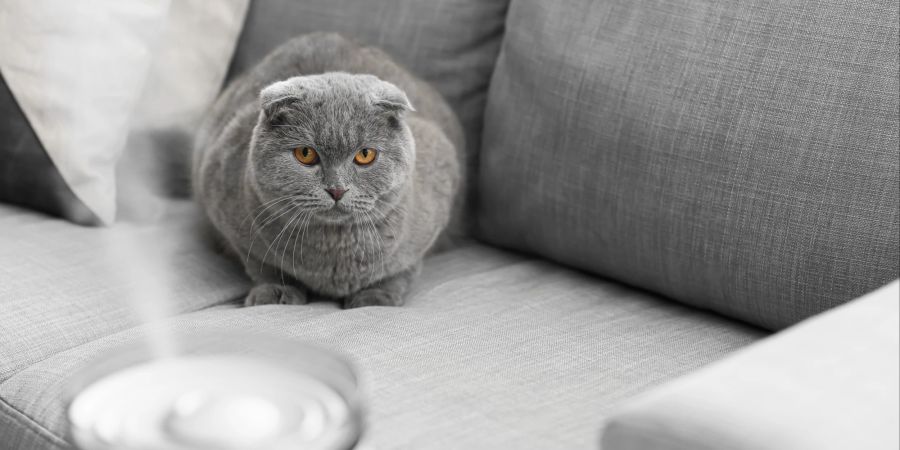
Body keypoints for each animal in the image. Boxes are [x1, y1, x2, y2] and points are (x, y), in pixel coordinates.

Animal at [196, 32, 464, 310]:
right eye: (306, 154)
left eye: (365, 155)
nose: (337, 189)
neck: (333, 254)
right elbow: (262, 266)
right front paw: (275, 292)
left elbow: (400, 271)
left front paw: (375, 298)